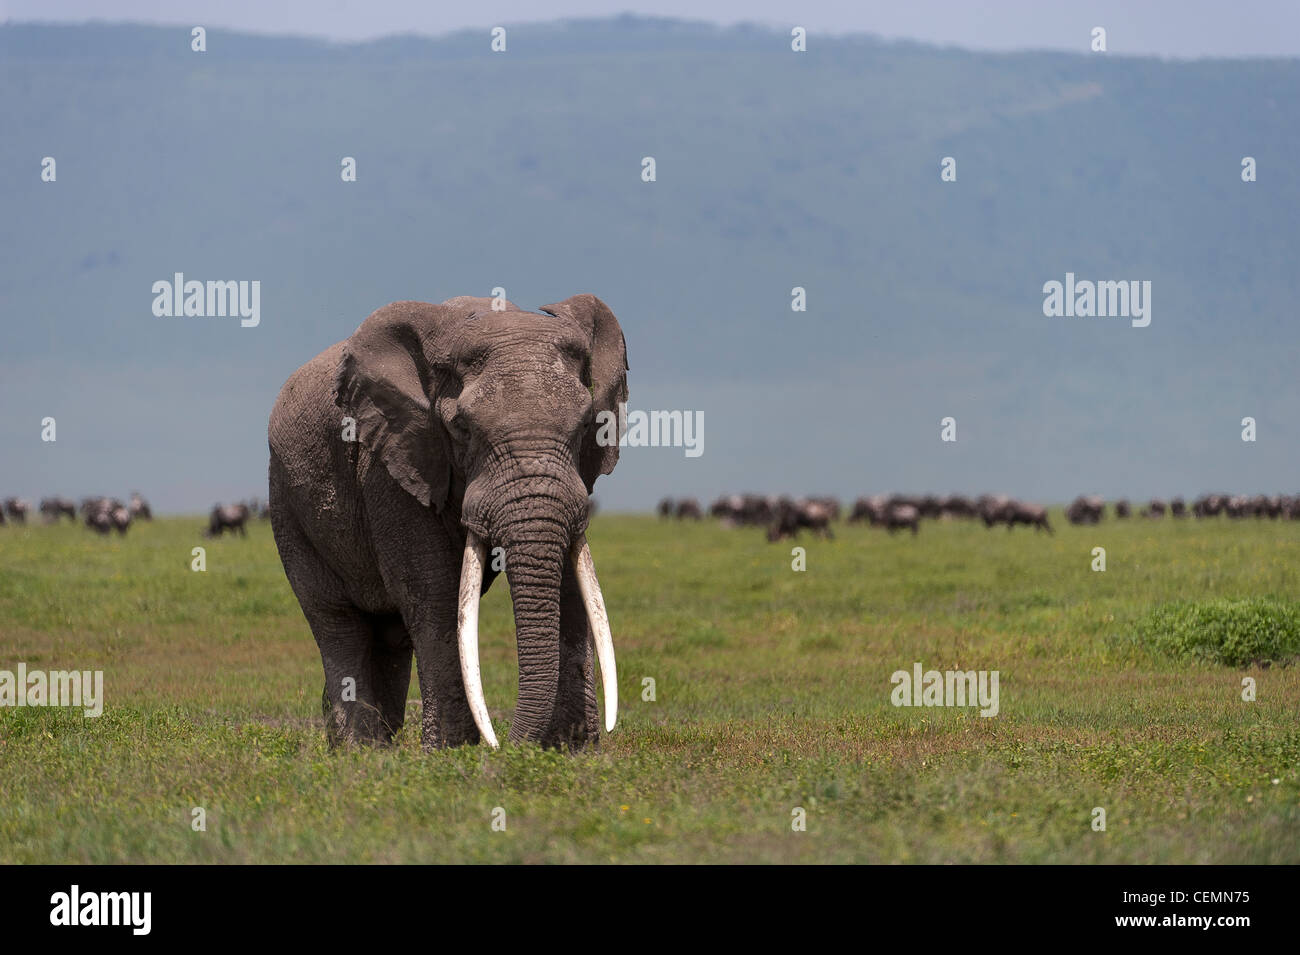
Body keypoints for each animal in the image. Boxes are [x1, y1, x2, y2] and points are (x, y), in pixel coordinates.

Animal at [266, 293, 626, 753]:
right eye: (461, 428)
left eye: (585, 425)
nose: (506, 746)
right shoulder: (389, 461)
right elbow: (431, 590)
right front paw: (452, 753)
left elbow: (572, 582)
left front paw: (572, 751)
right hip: (286, 501)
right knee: (336, 621)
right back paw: (358, 751)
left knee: (387, 635)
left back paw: (373, 746)